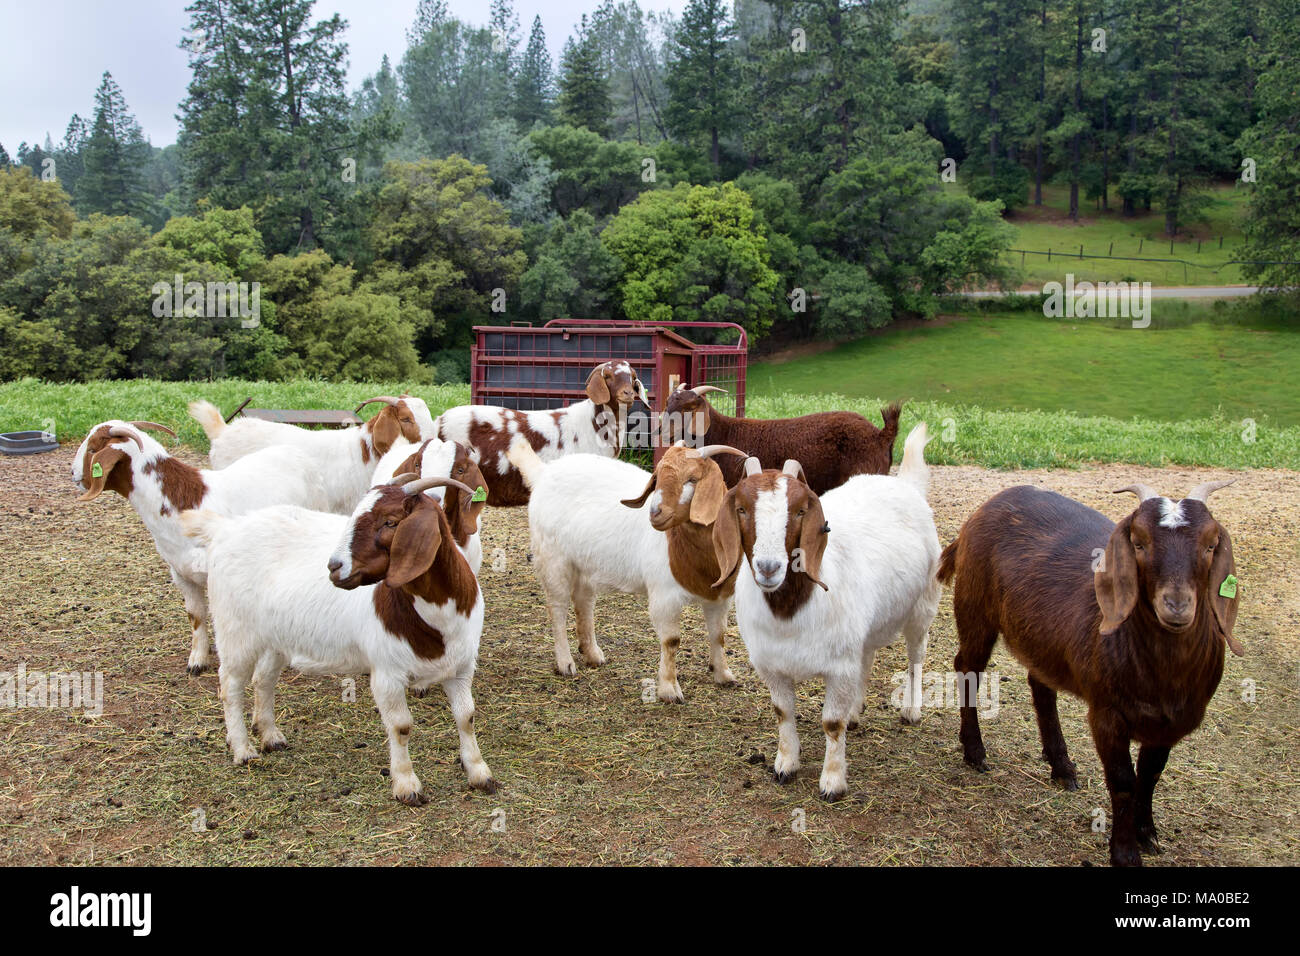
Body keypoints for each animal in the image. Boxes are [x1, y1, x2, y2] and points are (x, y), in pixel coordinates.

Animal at [71, 420, 325, 674]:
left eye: (92, 449)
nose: (73, 473)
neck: (181, 505)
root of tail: (295, 452)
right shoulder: (181, 573)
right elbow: (195, 615)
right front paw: (198, 659)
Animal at [179, 473, 495, 804]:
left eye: (390, 521)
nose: (334, 567)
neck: (438, 619)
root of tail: (225, 529)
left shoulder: (460, 667)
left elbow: (466, 717)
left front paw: (479, 773)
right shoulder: (387, 674)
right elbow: (401, 727)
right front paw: (407, 785)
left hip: (274, 637)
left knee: (263, 679)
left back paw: (270, 736)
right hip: (235, 630)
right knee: (230, 686)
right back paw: (243, 750)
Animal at [508, 437, 746, 702]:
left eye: (692, 479)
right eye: (657, 479)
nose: (655, 513)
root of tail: (544, 473)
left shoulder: (720, 597)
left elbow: (719, 634)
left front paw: (724, 675)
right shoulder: (665, 596)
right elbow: (671, 642)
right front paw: (669, 690)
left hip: (584, 565)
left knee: (584, 602)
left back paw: (592, 653)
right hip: (553, 559)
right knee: (557, 608)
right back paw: (565, 663)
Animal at [712, 424, 940, 800]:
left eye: (800, 511)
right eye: (742, 509)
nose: (769, 567)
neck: (791, 610)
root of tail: (905, 485)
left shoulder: (839, 666)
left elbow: (831, 724)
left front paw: (833, 782)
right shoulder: (772, 664)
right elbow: (783, 712)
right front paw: (786, 764)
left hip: (923, 605)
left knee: (916, 655)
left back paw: (911, 709)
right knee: (867, 657)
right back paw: (856, 712)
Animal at [937, 480, 1242, 866]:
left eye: (1211, 544)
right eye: (1138, 542)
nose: (1176, 605)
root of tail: (992, 502)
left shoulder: (1170, 724)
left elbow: (1151, 775)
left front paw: (1147, 833)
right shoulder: (1107, 714)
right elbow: (1123, 781)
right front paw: (1124, 853)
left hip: (1042, 637)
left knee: (1040, 686)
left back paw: (1061, 764)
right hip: (975, 606)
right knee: (968, 671)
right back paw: (975, 751)